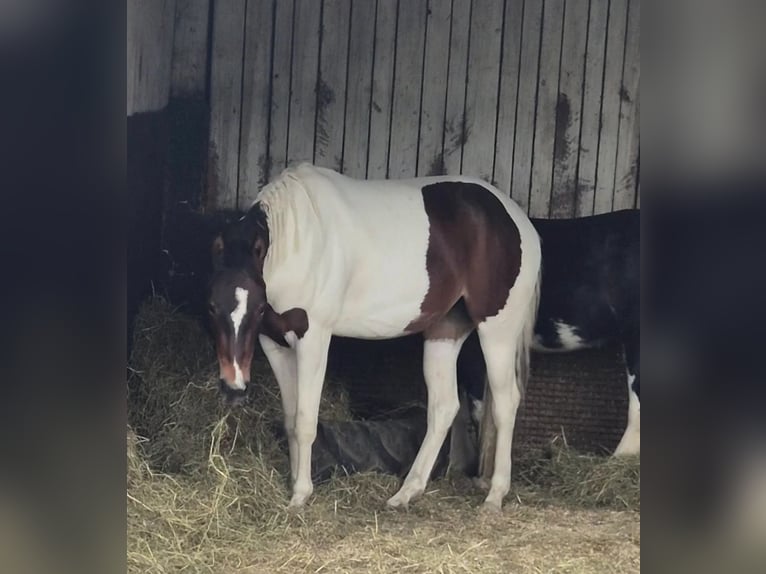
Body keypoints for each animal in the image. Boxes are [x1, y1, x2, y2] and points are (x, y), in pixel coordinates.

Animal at [207, 163, 542, 511]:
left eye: (258, 308)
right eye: (212, 306)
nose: (233, 388)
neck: (296, 245)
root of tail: (519, 221)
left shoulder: (313, 338)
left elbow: (305, 421)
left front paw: (301, 494)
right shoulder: (274, 343)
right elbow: (290, 420)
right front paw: (295, 484)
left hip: (498, 331)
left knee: (505, 403)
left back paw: (494, 496)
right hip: (445, 332)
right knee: (444, 407)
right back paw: (407, 492)